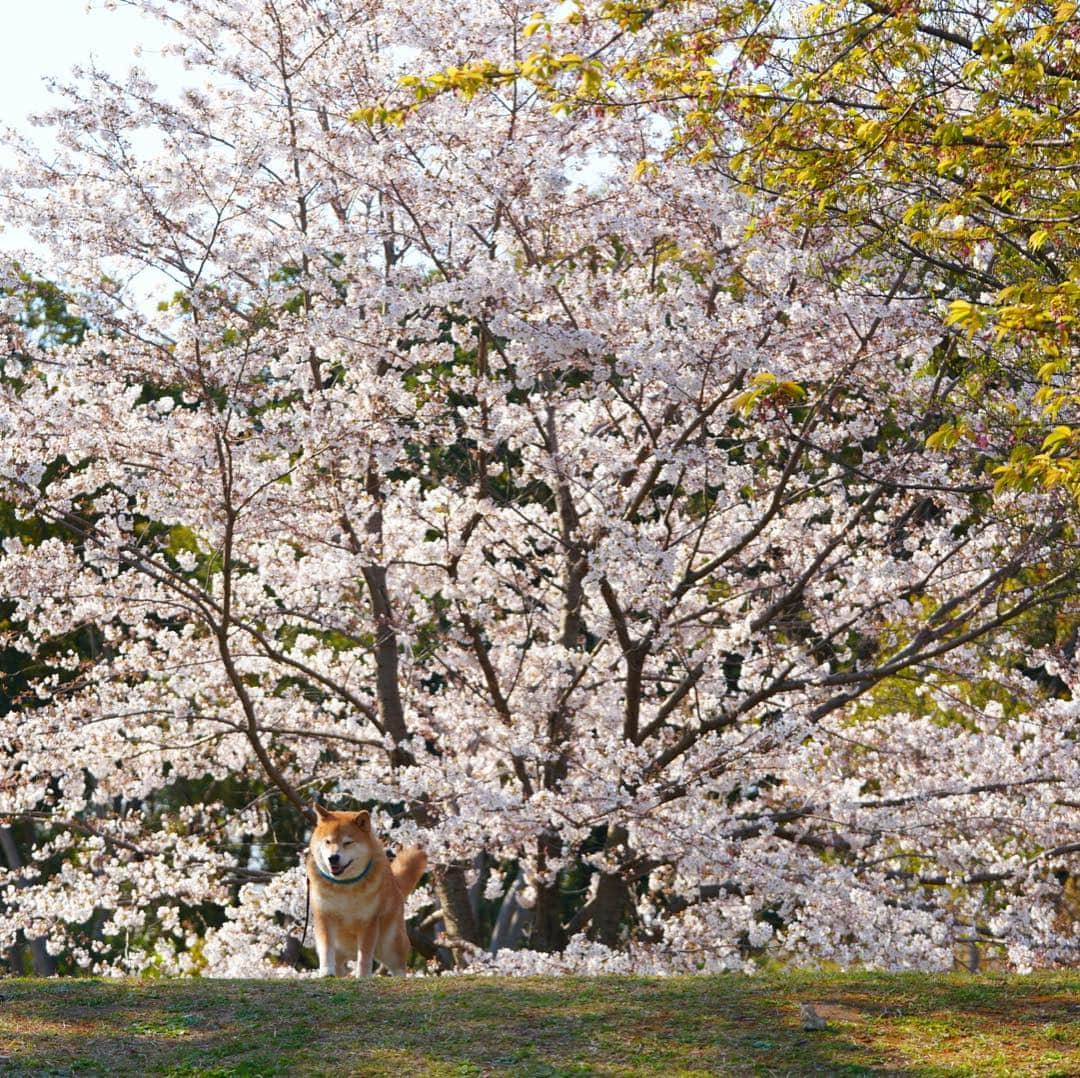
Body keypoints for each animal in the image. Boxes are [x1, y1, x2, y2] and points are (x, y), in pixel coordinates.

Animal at [308, 803, 425, 980]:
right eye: (327, 841)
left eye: (348, 842)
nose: (333, 858)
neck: (345, 886)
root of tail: (395, 884)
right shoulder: (324, 917)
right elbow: (326, 950)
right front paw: (326, 972)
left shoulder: (369, 921)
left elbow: (364, 955)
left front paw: (362, 976)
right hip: (342, 949)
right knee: (339, 964)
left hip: (390, 944)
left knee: (398, 967)